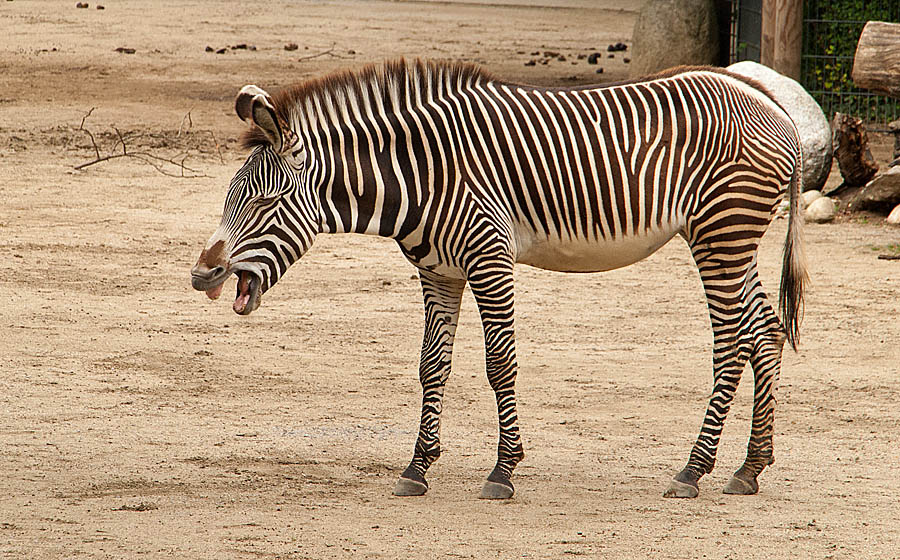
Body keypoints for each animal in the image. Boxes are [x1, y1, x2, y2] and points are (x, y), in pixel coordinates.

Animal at [190, 59, 806, 500]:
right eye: (228, 199)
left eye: (265, 202)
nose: (202, 275)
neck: (420, 176)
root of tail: (770, 103)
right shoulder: (438, 272)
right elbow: (431, 366)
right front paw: (417, 468)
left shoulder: (490, 259)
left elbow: (498, 363)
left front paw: (503, 470)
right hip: (732, 237)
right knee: (765, 331)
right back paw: (750, 467)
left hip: (721, 233)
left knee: (732, 343)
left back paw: (692, 471)